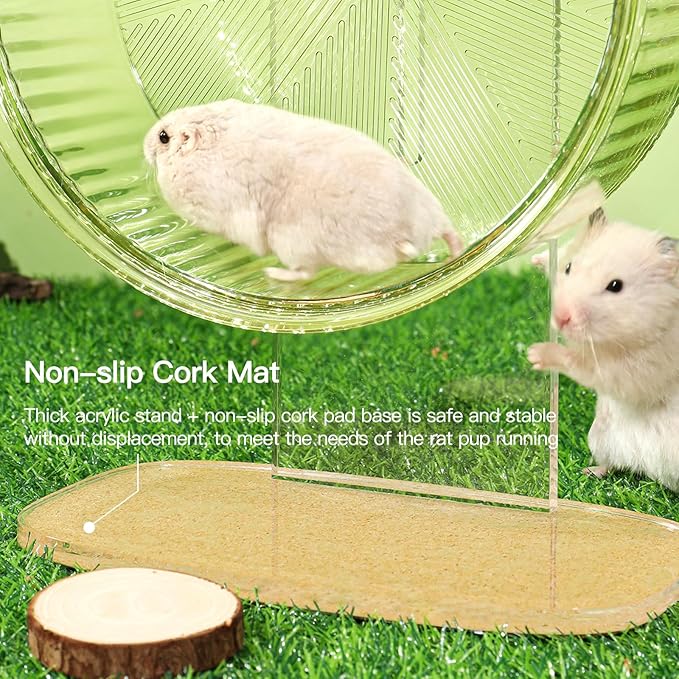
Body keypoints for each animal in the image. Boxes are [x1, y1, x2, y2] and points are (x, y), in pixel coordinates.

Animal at [143, 99, 463, 281]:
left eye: (163, 137)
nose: (143, 146)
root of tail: (409, 234)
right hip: (433, 208)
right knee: (450, 232)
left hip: (291, 244)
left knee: (306, 274)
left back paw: (272, 273)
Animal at [528, 208, 679, 491]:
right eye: (569, 267)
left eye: (615, 286)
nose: (560, 317)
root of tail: (652, 472)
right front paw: (535, 259)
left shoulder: (637, 370)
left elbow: (584, 365)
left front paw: (535, 354)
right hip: (600, 437)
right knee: (613, 464)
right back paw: (589, 471)